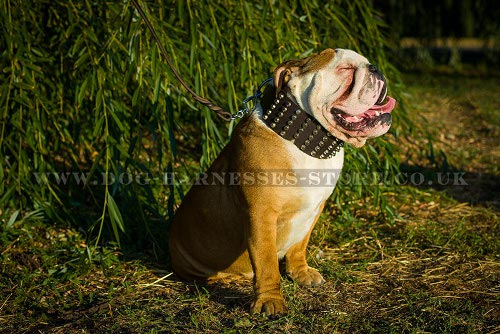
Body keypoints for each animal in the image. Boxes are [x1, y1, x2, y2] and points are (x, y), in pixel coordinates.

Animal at [170, 47, 396, 316]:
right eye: (345, 70)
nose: (376, 68)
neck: (302, 137)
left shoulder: (315, 209)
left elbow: (300, 244)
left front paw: (300, 272)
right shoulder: (261, 214)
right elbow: (266, 262)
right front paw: (271, 300)